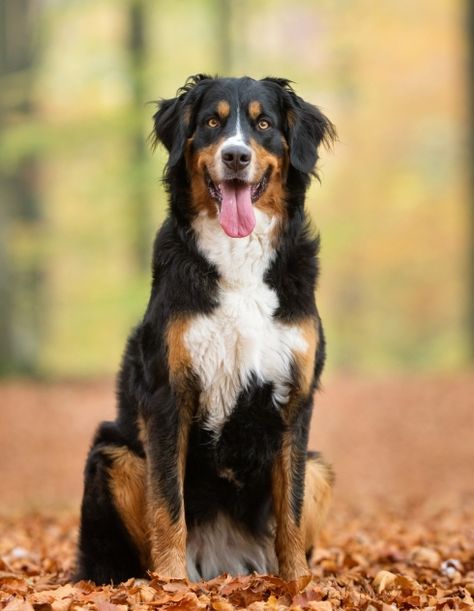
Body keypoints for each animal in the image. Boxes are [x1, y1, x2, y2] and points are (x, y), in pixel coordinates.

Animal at [76, 73, 336, 584]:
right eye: (213, 123)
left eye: (263, 123)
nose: (236, 156)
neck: (239, 261)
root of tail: (223, 562)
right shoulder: (168, 392)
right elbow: (167, 504)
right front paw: (170, 585)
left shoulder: (296, 398)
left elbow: (291, 512)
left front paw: (298, 583)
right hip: (113, 454)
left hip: (321, 468)